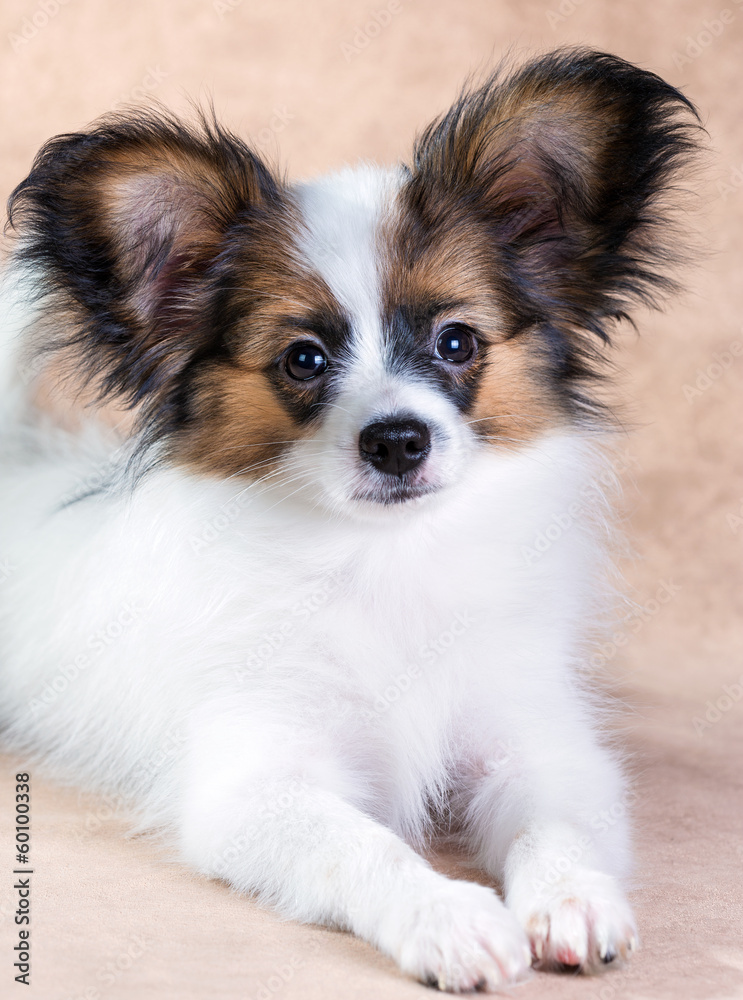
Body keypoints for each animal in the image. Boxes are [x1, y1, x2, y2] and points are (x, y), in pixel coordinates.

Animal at [0, 48, 696, 992]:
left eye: (455, 341)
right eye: (304, 359)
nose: (397, 439)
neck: (384, 558)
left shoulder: (533, 740)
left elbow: (558, 822)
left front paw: (572, 900)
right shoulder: (256, 783)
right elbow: (363, 848)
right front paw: (449, 919)